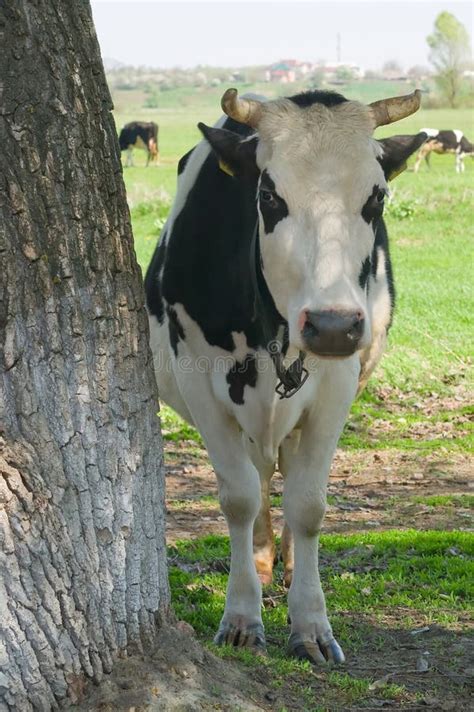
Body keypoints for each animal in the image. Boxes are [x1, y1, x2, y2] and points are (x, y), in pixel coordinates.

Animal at [144, 87, 422, 660]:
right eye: (269, 196)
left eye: (376, 198)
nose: (333, 326)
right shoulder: (199, 385)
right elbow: (239, 497)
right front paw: (242, 615)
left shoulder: (338, 386)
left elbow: (309, 503)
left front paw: (311, 622)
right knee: (260, 476)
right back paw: (263, 558)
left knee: (286, 476)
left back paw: (290, 564)